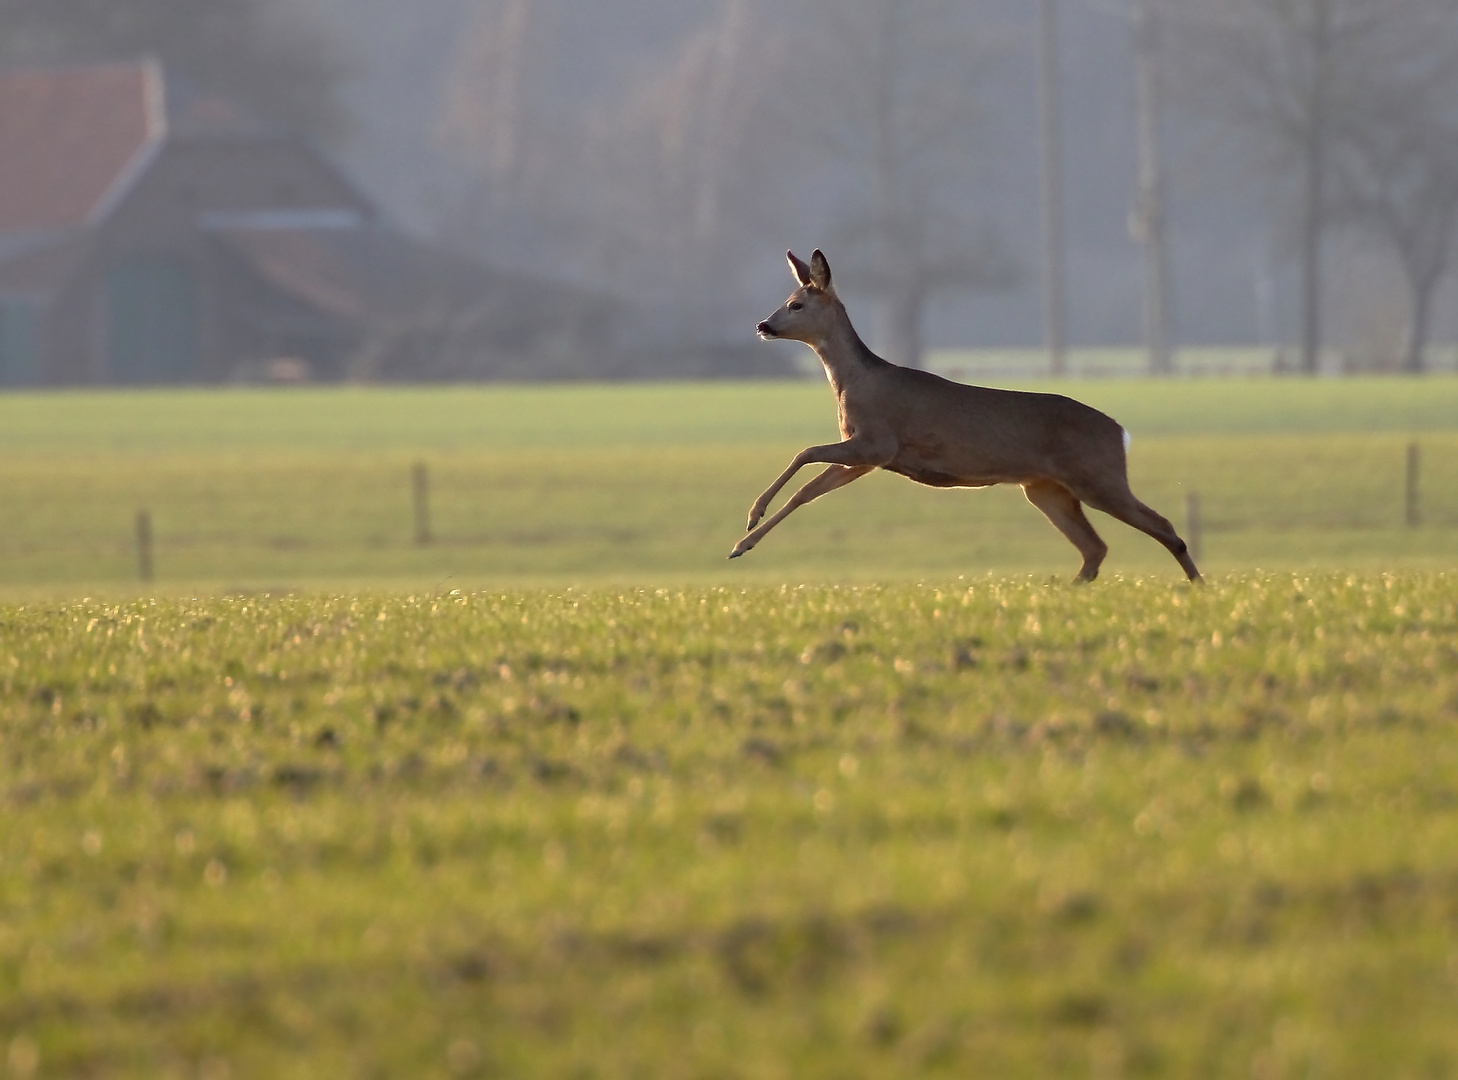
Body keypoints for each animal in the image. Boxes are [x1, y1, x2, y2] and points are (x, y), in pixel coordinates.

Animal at [734, 249, 1201, 585]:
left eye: (795, 304)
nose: (763, 325)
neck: (854, 383)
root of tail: (1121, 432)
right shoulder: (866, 457)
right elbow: (806, 491)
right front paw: (745, 541)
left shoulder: (877, 441)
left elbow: (805, 452)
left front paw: (749, 521)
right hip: (1045, 488)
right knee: (1094, 548)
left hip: (1097, 475)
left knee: (1161, 526)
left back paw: (1197, 585)